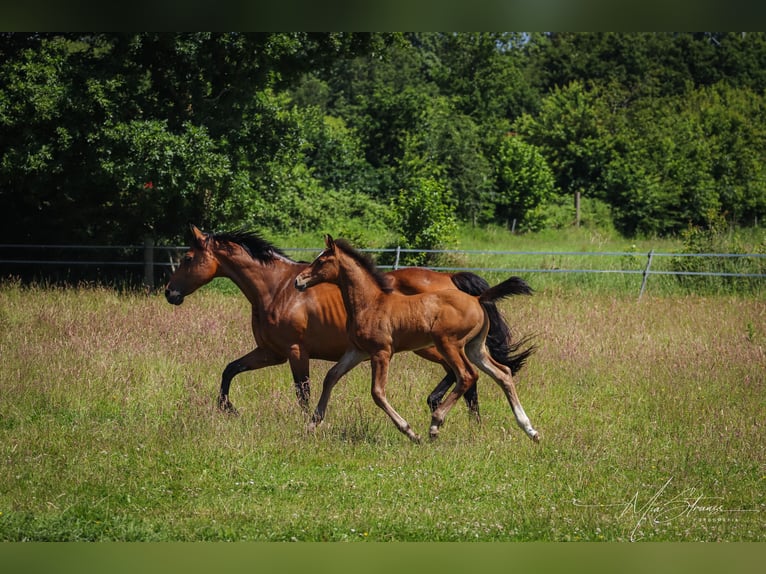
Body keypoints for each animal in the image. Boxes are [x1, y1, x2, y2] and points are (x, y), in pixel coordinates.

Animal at [164, 225, 534, 418]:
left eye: (187, 258)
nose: (170, 293)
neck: (277, 288)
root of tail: (453, 280)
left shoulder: (296, 353)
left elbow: (303, 392)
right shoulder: (271, 353)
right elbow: (230, 369)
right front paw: (228, 408)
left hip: (433, 346)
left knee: (465, 376)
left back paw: (447, 412)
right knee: (466, 376)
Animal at [294, 235, 540, 444]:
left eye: (321, 261)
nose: (298, 281)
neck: (370, 303)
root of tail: (478, 298)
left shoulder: (381, 352)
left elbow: (377, 392)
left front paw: (410, 432)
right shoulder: (357, 351)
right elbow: (331, 376)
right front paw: (312, 425)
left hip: (449, 344)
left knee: (467, 375)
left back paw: (435, 425)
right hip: (475, 348)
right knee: (503, 373)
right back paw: (530, 429)